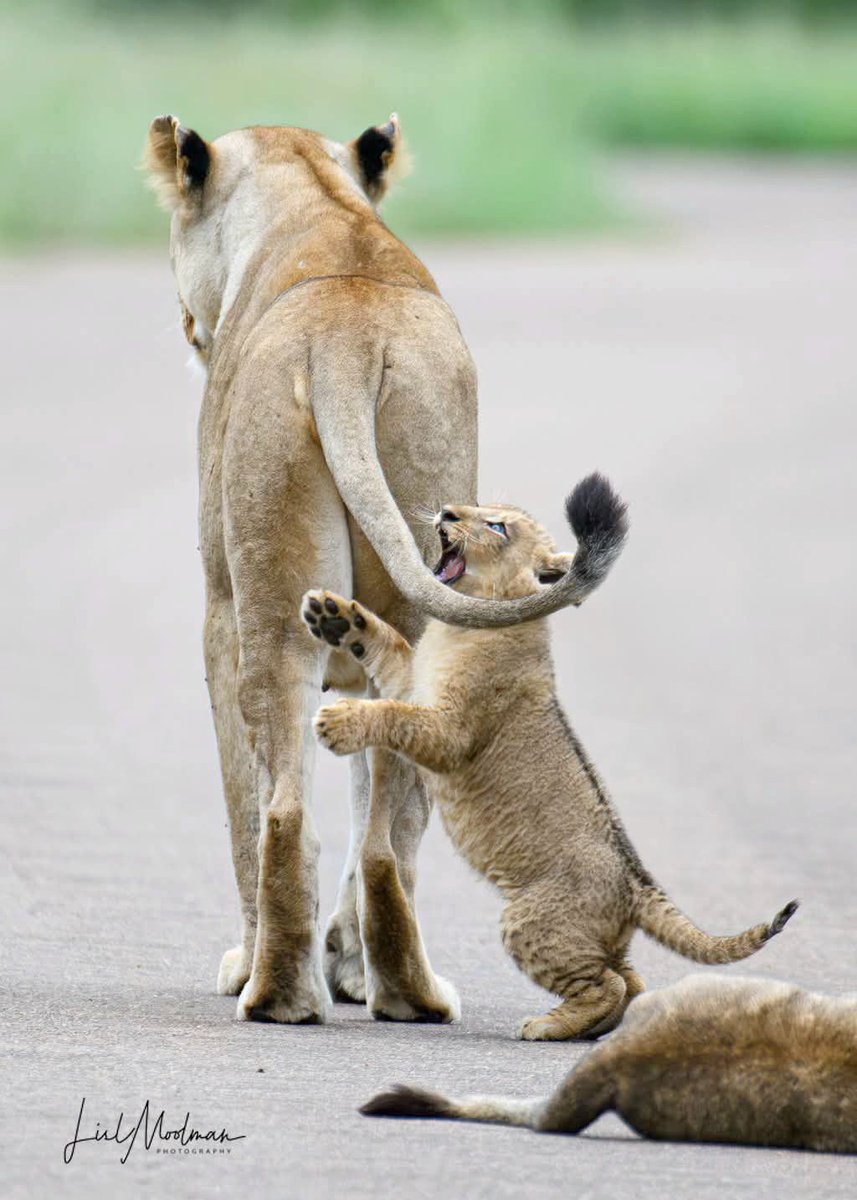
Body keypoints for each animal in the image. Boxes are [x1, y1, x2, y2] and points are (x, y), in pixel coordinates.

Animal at [144, 113, 586, 1025]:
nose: (187, 328)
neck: (318, 204)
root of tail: (344, 345)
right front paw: (349, 967)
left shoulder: (215, 612)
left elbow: (242, 800)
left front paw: (257, 965)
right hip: (421, 540)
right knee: (383, 829)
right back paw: (396, 991)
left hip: (264, 605)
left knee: (281, 811)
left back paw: (280, 990)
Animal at [302, 475, 797, 1039]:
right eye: (477, 508)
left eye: (497, 526)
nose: (447, 512)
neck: (465, 621)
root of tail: (635, 883)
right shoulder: (413, 681)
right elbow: (389, 647)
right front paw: (337, 617)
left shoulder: (451, 730)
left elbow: (393, 714)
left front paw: (339, 723)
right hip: (589, 935)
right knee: (630, 978)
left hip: (532, 920)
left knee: (609, 983)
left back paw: (548, 1026)